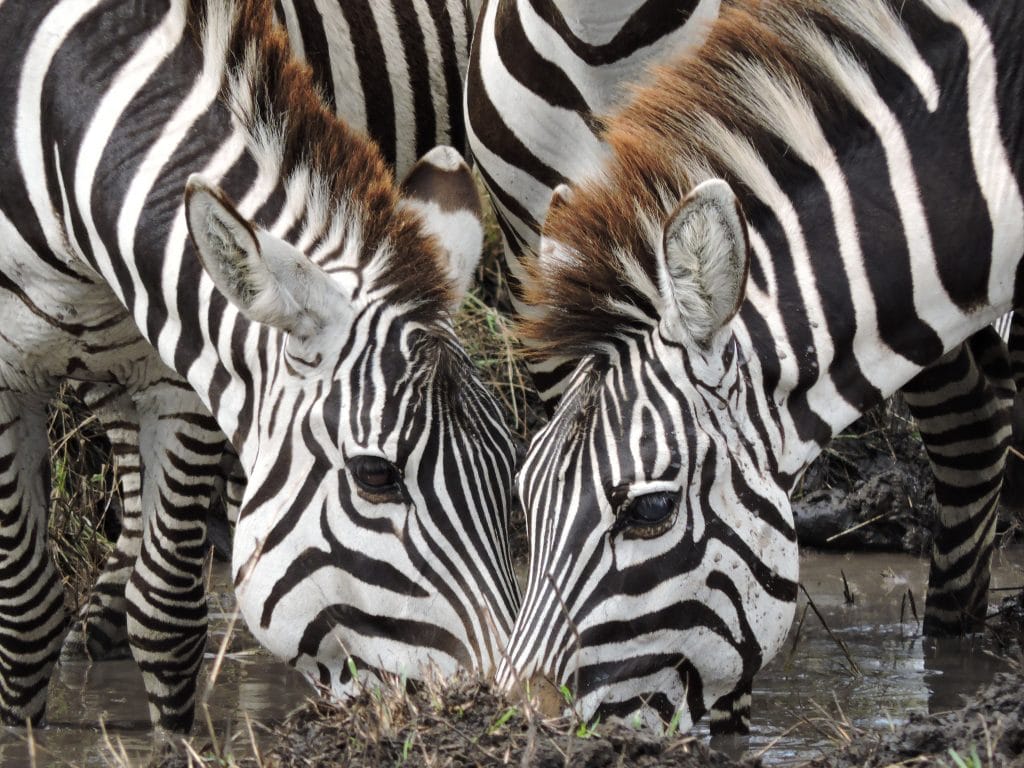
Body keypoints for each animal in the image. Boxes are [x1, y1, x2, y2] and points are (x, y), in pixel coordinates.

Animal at [2, 0, 520, 729]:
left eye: (510, 466)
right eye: (375, 475)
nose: (499, 712)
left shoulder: (177, 359)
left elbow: (165, 613)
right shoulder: (10, 375)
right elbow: (25, 616)